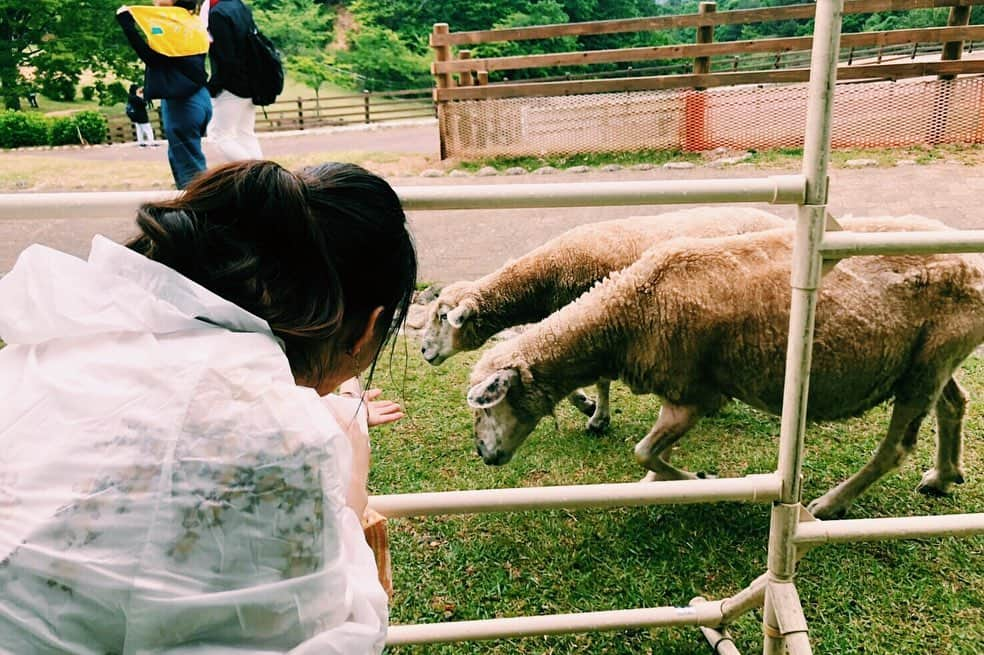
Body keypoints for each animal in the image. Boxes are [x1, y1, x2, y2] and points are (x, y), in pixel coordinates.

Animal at [418, 208, 788, 434]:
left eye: (443, 316)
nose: (423, 351)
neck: (547, 275)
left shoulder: (600, 324)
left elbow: (601, 380)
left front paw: (596, 416)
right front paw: (586, 405)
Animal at [468, 218, 984, 520]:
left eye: (485, 407)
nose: (483, 455)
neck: (627, 313)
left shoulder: (693, 394)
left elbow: (644, 452)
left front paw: (695, 480)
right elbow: (649, 457)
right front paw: (664, 482)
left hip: (929, 363)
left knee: (896, 447)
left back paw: (829, 505)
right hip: (932, 355)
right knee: (954, 405)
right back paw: (944, 476)